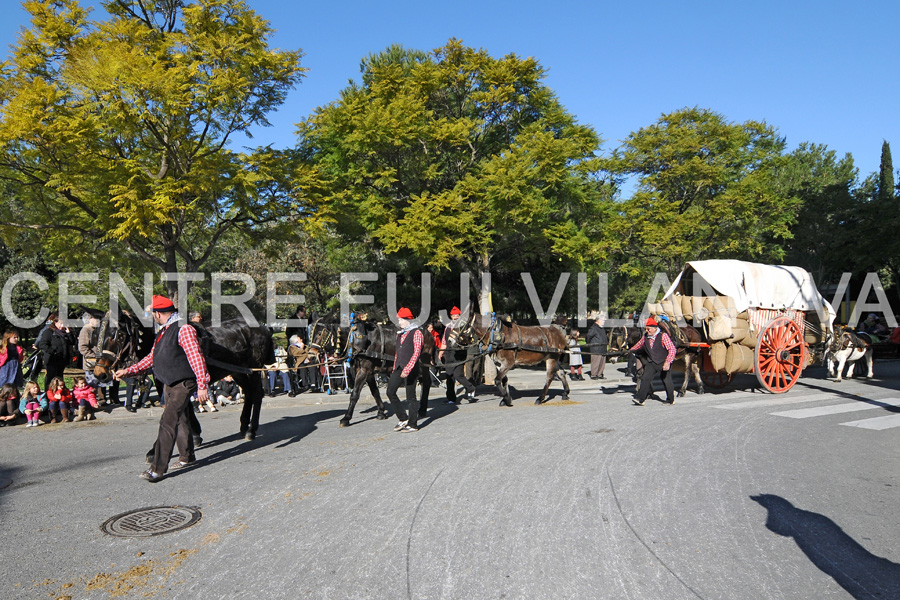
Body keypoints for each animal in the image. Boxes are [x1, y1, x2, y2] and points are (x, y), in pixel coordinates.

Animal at [92, 312, 276, 438]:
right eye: (97, 334)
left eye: (117, 335)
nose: (99, 373)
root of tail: (263, 326)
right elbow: (184, 408)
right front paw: (194, 434)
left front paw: (194, 435)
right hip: (239, 371)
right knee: (250, 394)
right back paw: (244, 426)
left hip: (253, 369)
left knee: (257, 394)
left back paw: (251, 430)